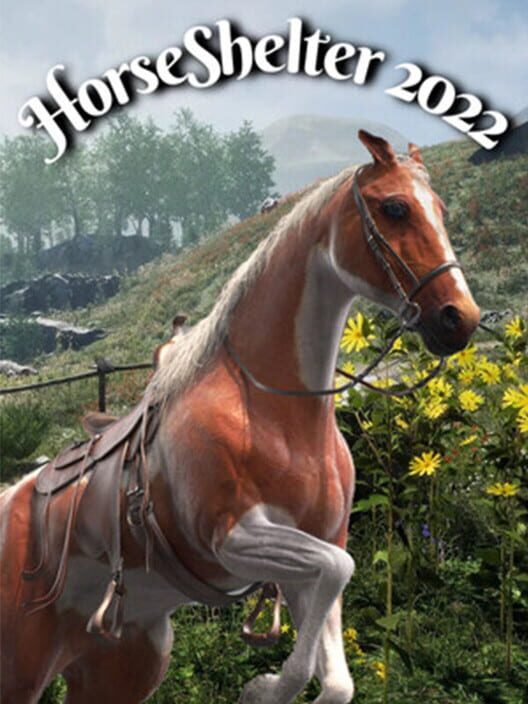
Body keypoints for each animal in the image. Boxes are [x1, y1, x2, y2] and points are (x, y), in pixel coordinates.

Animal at [0, 131, 480, 704]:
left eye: (441, 209)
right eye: (395, 207)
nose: (459, 318)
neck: (274, 412)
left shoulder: (314, 553)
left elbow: (336, 668)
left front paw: (274, 685)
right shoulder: (231, 538)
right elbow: (337, 570)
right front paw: (265, 687)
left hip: (122, 669)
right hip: (21, 670)